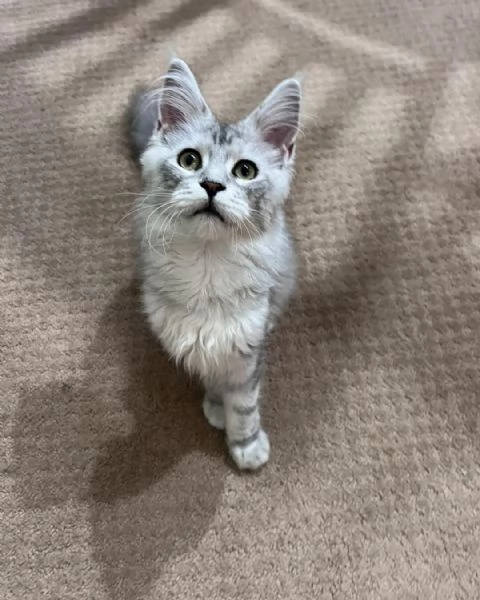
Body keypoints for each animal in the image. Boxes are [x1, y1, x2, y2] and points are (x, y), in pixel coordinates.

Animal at [127, 57, 300, 468]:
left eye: (245, 171)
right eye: (189, 160)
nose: (211, 186)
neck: (207, 265)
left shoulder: (246, 345)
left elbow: (245, 403)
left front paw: (246, 446)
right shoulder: (191, 339)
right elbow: (214, 380)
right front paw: (217, 407)